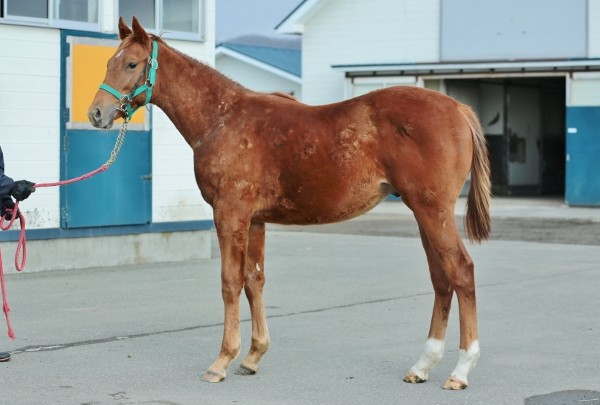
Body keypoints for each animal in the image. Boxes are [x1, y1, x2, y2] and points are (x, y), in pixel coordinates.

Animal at [88, 17, 491, 390]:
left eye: (132, 64)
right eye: (110, 61)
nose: (96, 114)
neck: (222, 118)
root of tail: (458, 108)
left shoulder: (230, 213)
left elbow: (230, 281)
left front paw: (222, 361)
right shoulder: (255, 219)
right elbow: (254, 280)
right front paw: (253, 356)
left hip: (432, 210)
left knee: (462, 270)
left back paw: (461, 369)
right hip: (424, 213)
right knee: (441, 278)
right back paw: (423, 365)